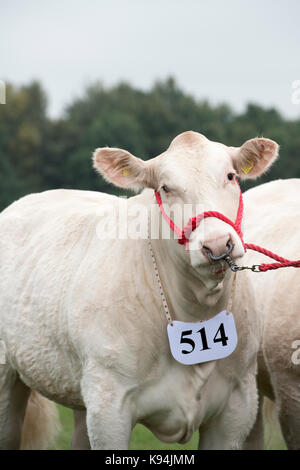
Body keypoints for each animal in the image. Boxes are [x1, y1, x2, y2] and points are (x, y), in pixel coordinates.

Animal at [0, 131, 278, 448]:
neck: (195, 310)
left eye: (230, 176)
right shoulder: (109, 407)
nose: (218, 245)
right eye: (165, 188)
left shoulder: (237, 406)